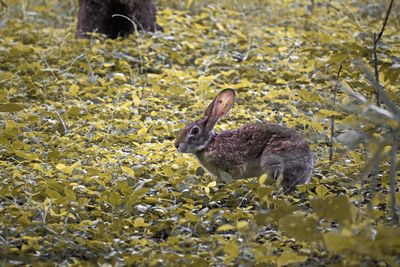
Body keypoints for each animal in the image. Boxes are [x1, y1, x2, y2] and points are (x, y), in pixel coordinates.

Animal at [173, 89, 314, 192]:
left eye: (194, 131)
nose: (176, 145)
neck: (208, 143)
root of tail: (307, 169)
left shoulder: (232, 165)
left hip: (272, 160)